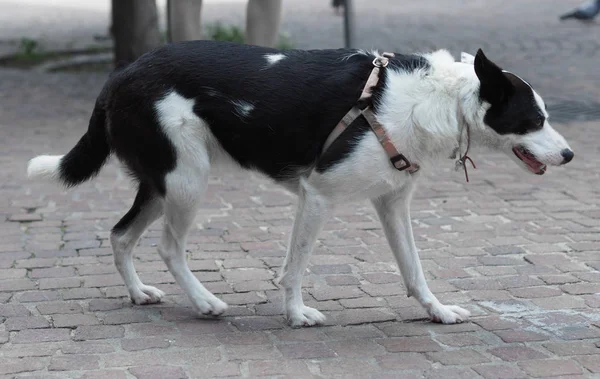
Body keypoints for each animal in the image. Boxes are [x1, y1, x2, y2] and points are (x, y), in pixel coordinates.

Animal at [25, 40, 576, 326]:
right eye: (534, 120)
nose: (570, 155)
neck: (433, 98)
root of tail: (121, 74)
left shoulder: (393, 204)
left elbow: (414, 270)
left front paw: (436, 310)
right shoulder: (318, 195)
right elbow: (295, 267)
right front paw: (294, 314)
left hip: (163, 185)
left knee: (121, 236)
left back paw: (140, 294)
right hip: (186, 182)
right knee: (166, 247)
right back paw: (203, 302)